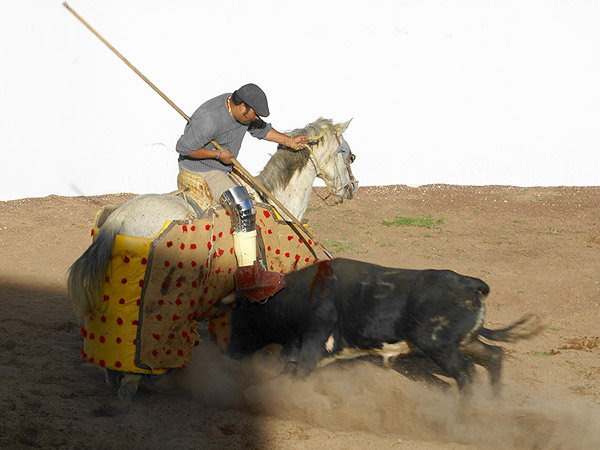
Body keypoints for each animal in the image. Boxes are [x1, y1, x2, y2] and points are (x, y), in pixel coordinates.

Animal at [226, 258, 536, 392]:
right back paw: (494, 403)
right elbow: (288, 369)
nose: (229, 352)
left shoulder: (314, 337)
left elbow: (300, 371)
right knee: (493, 356)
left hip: (439, 345)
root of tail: (467, 283)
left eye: (240, 317)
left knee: (466, 373)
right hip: (464, 341)